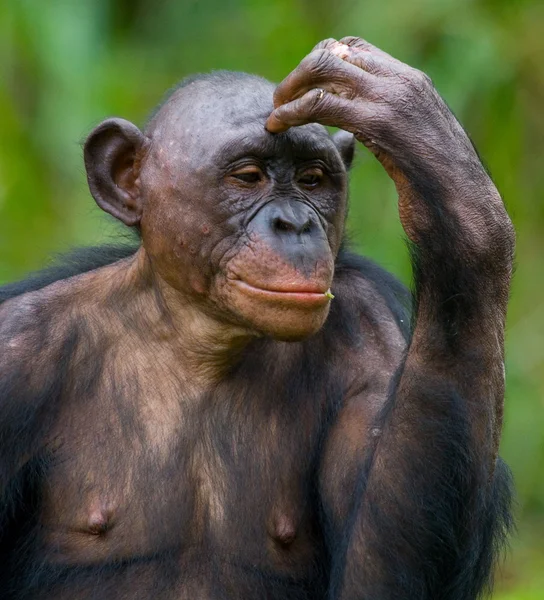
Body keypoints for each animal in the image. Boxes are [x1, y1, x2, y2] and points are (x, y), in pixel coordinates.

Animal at [0, 37, 516, 600]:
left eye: (313, 179)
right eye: (248, 176)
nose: (295, 222)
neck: (197, 339)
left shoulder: (371, 328)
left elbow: (376, 573)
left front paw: (429, 150)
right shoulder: (14, 356)